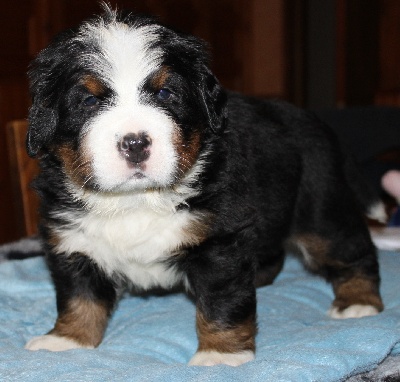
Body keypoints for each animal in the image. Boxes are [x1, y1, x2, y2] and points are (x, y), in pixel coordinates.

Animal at [24, 5, 384, 364]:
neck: (136, 199)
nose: (135, 143)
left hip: (320, 209)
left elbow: (221, 303)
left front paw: (219, 354)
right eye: (88, 101)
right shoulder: (75, 242)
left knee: (353, 251)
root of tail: (316, 121)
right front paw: (67, 339)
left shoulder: (218, 240)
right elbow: (79, 297)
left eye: (165, 93)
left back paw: (358, 303)